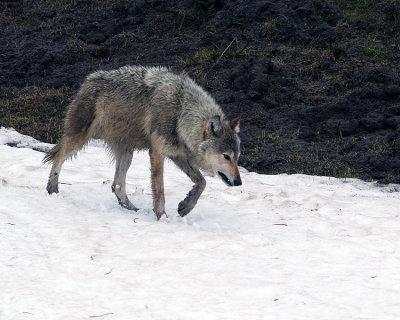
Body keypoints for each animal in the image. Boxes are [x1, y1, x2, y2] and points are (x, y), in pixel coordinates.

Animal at [45, 65, 242, 220]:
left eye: (237, 157)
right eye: (226, 156)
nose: (239, 182)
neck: (181, 112)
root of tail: (89, 79)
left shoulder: (178, 155)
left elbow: (202, 182)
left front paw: (185, 207)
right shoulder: (157, 153)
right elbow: (160, 191)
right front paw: (162, 217)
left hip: (127, 153)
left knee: (116, 185)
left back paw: (132, 209)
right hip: (80, 139)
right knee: (58, 158)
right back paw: (52, 189)